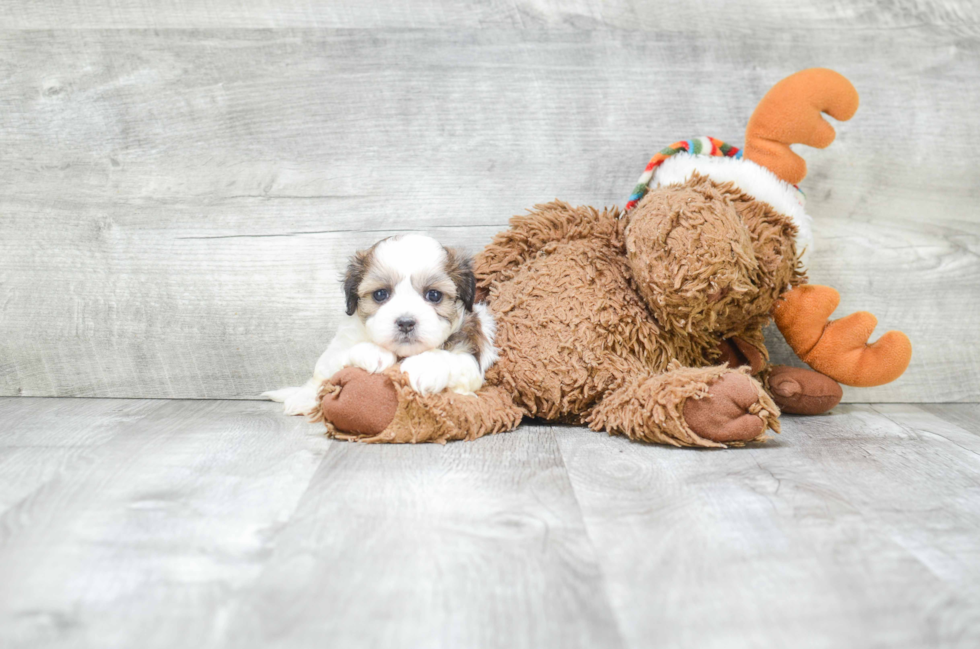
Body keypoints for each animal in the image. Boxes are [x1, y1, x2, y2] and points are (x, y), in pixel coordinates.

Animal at [262, 233, 498, 416]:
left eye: (434, 295)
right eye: (380, 294)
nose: (406, 323)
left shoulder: (471, 357)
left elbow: (450, 358)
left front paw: (424, 366)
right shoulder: (343, 341)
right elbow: (339, 356)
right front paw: (374, 351)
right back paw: (301, 399)